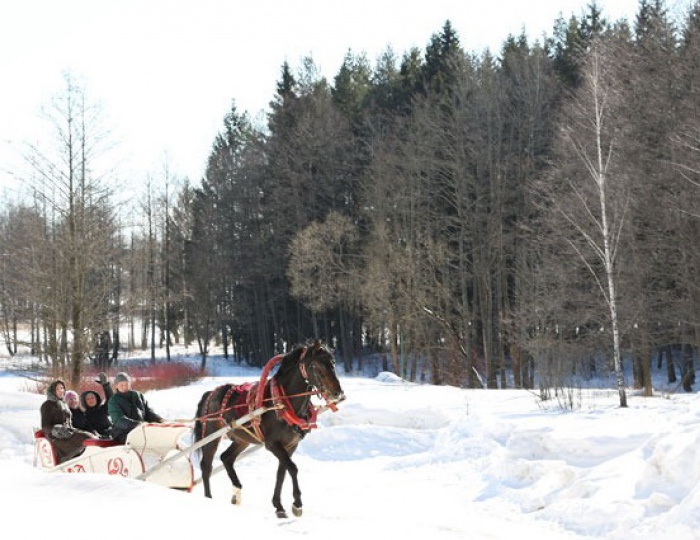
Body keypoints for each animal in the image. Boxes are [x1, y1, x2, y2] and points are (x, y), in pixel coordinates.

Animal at [193, 340, 346, 516]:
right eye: (314, 365)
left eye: (332, 362)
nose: (337, 393)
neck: (283, 403)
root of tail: (210, 393)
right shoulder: (272, 444)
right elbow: (292, 468)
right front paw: (297, 503)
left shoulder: (291, 445)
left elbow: (282, 472)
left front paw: (278, 505)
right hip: (211, 436)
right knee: (206, 466)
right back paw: (208, 498)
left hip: (242, 439)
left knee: (226, 458)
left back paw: (237, 492)